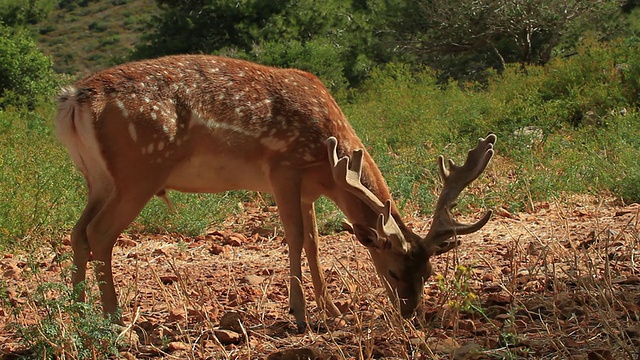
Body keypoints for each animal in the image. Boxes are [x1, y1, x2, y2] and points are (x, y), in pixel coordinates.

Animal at [55, 54, 496, 334]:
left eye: (428, 273)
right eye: (393, 272)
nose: (410, 313)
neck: (328, 162)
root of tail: (74, 99)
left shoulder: (309, 189)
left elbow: (316, 242)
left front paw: (330, 310)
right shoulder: (284, 168)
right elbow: (296, 237)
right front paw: (300, 315)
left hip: (99, 178)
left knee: (77, 233)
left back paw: (77, 312)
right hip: (139, 170)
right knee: (100, 233)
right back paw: (113, 319)